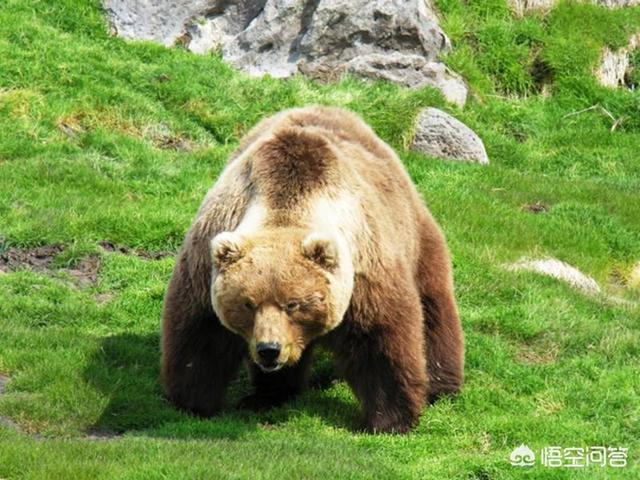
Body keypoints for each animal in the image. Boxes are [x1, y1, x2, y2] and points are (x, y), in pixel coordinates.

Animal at [159, 106, 460, 436]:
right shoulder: (209, 250)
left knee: (433, 304)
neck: (287, 204)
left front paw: (391, 419)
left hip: (413, 232)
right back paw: (268, 396)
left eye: (293, 304)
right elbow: (202, 333)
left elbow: (381, 338)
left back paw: (442, 385)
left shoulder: (363, 270)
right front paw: (192, 401)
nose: (269, 349)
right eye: (248, 304)